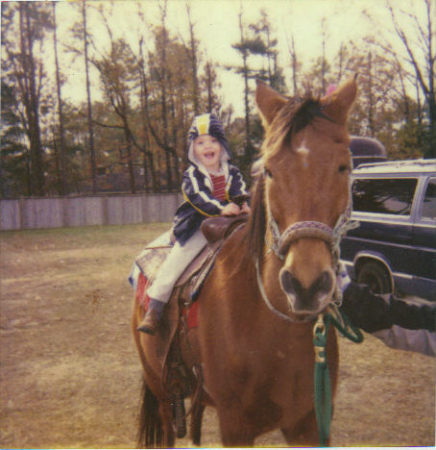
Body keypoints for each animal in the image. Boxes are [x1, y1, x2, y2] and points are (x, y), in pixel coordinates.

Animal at [132, 76, 358, 446]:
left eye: (344, 166)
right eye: (269, 170)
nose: (306, 285)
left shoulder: (309, 423)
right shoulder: (235, 426)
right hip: (161, 391)